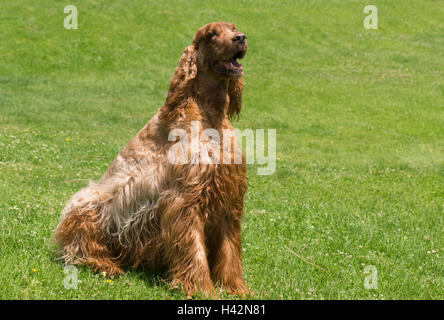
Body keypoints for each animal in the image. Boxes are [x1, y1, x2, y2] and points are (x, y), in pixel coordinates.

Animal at [54, 21, 250, 298]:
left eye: (233, 27)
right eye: (212, 33)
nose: (240, 37)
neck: (208, 116)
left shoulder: (227, 195)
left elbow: (230, 251)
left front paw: (236, 289)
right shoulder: (184, 200)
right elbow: (195, 252)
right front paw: (202, 290)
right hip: (87, 202)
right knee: (80, 249)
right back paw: (106, 265)